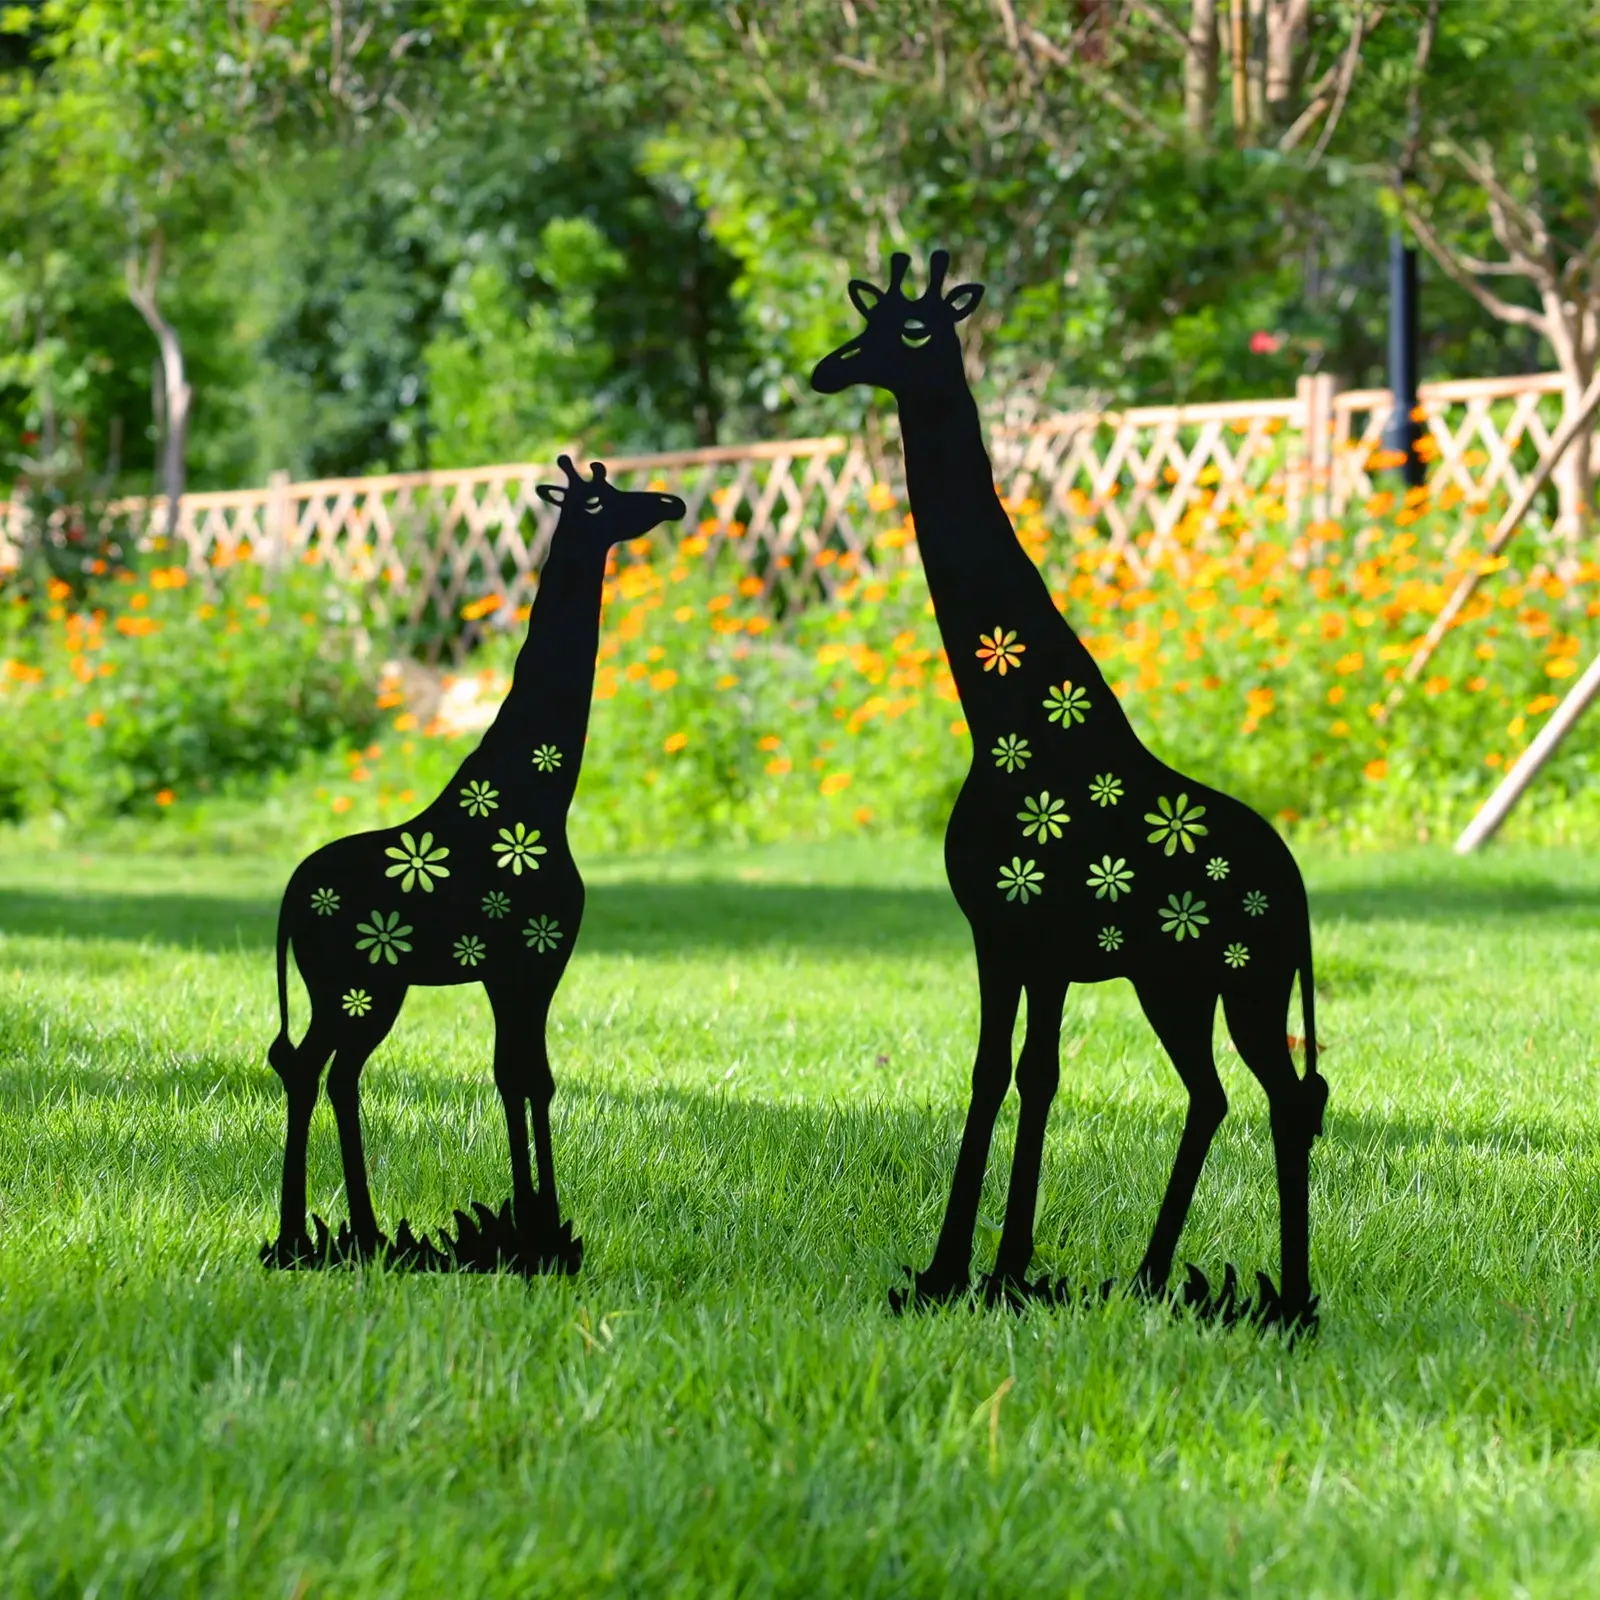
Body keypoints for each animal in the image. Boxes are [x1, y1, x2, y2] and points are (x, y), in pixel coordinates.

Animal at [262, 457, 685, 1273]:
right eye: (597, 499)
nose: (671, 501)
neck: (540, 797)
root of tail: (291, 897)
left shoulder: (508, 970)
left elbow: (516, 1076)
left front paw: (533, 1228)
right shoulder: (537, 957)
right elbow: (529, 1077)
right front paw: (540, 1234)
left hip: (364, 988)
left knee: (326, 1071)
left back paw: (346, 1235)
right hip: (358, 985)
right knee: (315, 1068)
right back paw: (317, 1238)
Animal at [811, 252, 1328, 1331]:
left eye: (913, 333)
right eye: (867, 327)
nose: (828, 369)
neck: (1008, 720)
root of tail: (1297, 890)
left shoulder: (1029, 939)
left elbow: (1027, 1077)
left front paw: (991, 1272)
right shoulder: (1006, 939)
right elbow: (996, 1074)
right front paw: (962, 1272)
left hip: (1246, 977)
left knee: (1285, 1097)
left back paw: (1288, 1301)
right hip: (1175, 982)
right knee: (1214, 1094)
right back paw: (1150, 1277)